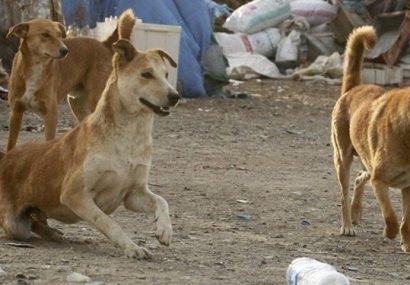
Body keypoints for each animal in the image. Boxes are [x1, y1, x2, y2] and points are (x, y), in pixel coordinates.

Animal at [0, 37, 181, 258]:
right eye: (146, 74)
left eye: (166, 75)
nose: (175, 96)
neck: (130, 136)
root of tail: (5, 157)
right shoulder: (75, 194)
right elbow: (109, 223)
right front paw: (132, 247)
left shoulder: (133, 195)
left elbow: (161, 200)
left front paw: (164, 230)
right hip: (14, 224)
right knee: (28, 226)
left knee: (36, 222)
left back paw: (54, 233)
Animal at [5, 9, 136, 150]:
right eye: (45, 35)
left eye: (59, 35)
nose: (65, 50)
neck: (36, 68)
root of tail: (103, 44)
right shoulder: (16, 113)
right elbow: (10, 144)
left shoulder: (51, 115)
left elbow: (49, 141)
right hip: (76, 104)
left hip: (95, 99)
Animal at [332, 25, 410, 251]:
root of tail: (353, 88)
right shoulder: (379, 180)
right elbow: (391, 216)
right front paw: (390, 232)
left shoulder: (408, 187)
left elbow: (406, 221)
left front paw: (406, 244)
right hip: (343, 159)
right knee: (344, 195)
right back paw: (347, 225)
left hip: (366, 160)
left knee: (360, 177)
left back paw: (356, 212)